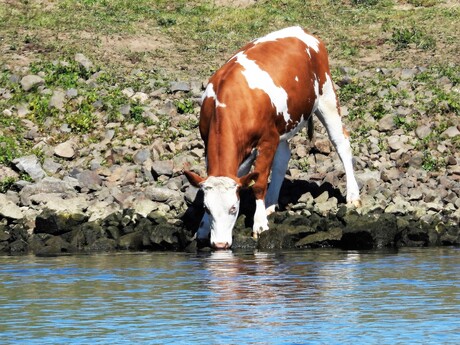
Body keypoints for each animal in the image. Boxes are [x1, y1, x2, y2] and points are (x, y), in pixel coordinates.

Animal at [185, 26, 362, 247]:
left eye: (233, 208)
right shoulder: (213, 142)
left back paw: (353, 195)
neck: (226, 103)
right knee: (283, 157)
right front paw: (202, 228)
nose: (220, 245)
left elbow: (259, 183)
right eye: (207, 209)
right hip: (283, 127)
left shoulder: (267, 139)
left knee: (341, 142)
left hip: (326, 95)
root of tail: (301, 30)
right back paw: (270, 203)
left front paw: (259, 225)